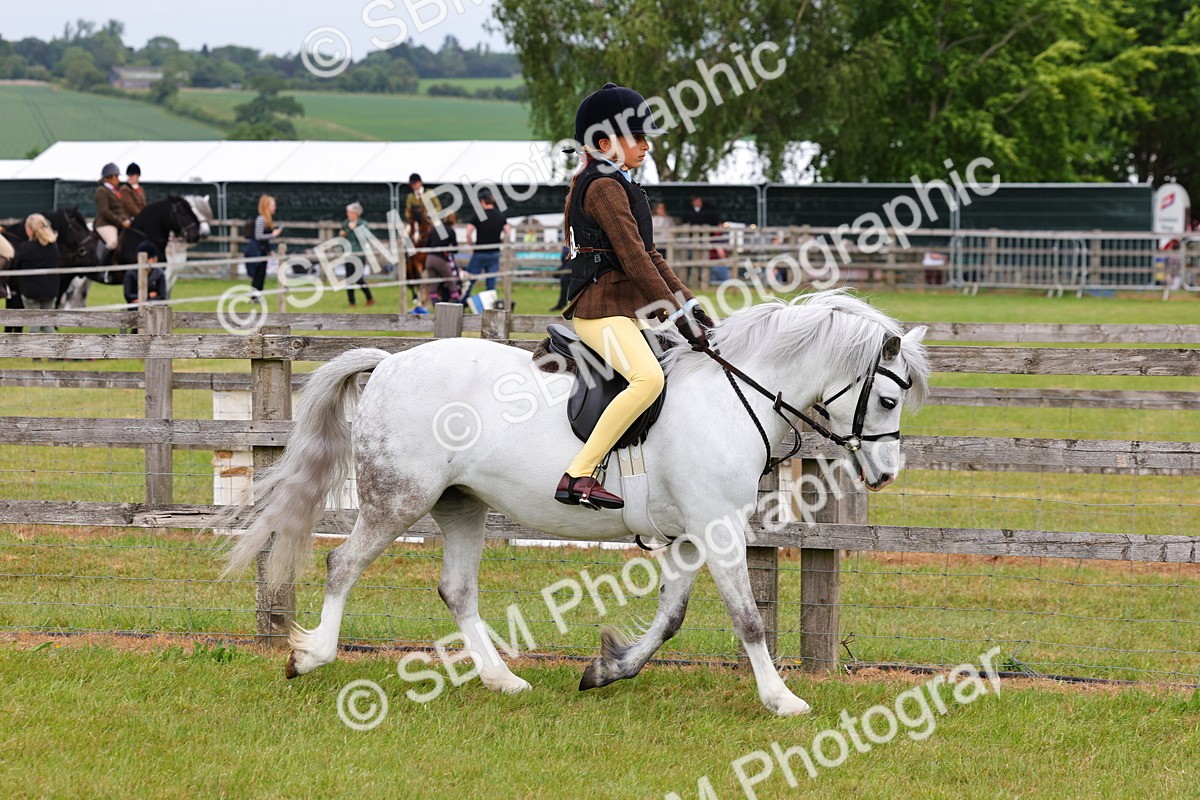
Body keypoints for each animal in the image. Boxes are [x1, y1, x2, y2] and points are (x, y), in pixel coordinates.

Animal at [221, 290, 931, 716]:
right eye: (888, 398)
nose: (885, 474)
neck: (735, 395)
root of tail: (391, 365)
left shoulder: (689, 535)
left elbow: (671, 620)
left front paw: (608, 669)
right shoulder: (718, 527)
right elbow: (748, 619)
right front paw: (782, 699)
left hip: (461, 503)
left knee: (457, 589)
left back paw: (502, 679)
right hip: (399, 499)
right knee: (343, 565)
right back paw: (311, 655)